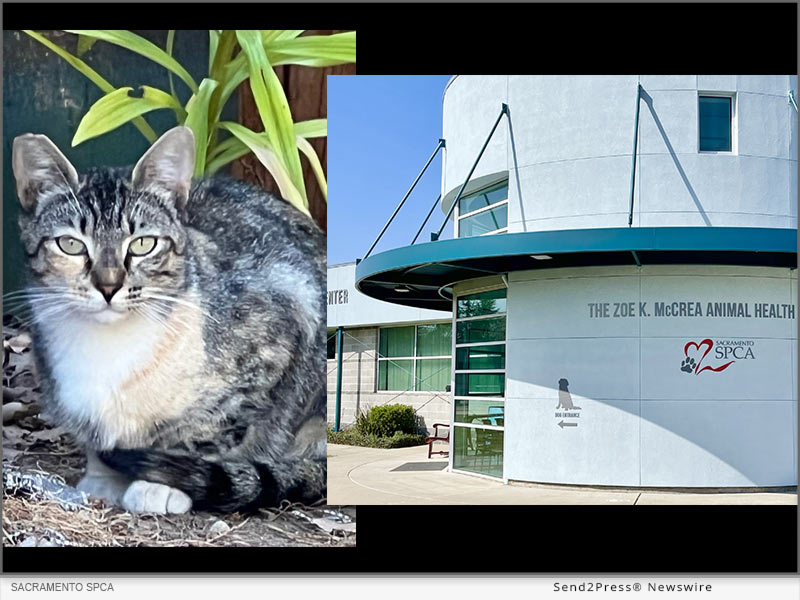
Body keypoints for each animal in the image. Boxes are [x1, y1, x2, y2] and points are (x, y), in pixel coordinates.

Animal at [10, 127, 326, 516]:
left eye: (143, 244)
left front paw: (160, 484)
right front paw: (102, 476)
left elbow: (202, 431)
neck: (109, 347)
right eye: (70, 244)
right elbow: (99, 433)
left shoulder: (282, 320)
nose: (109, 286)